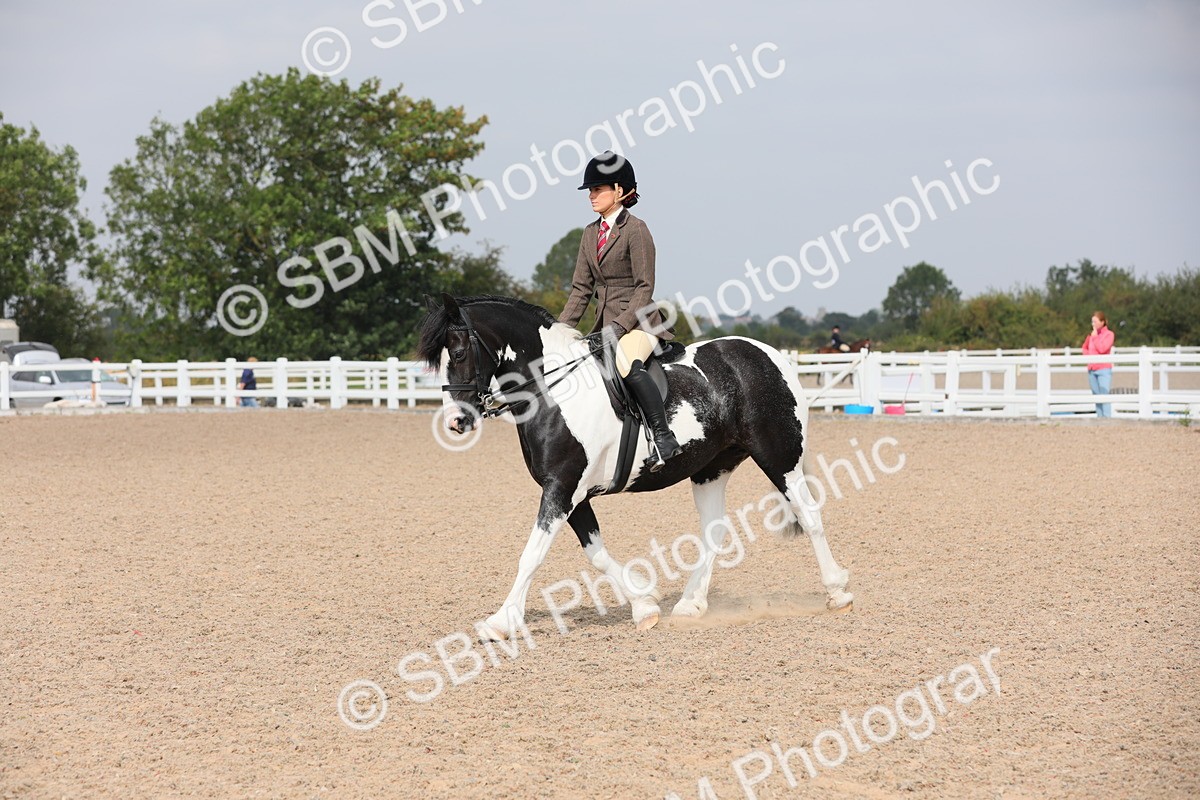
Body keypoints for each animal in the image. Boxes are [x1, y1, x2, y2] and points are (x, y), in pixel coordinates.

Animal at [418, 294, 853, 640]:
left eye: (459, 353)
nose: (456, 421)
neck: (554, 392)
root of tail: (770, 354)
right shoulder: (571, 493)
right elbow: (595, 553)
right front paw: (644, 602)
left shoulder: (561, 488)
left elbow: (532, 555)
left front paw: (500, 622)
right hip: (712, 468)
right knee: (714, 531)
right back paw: (691, 604)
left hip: (779, 458)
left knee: (809, 514)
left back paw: (838, 592)